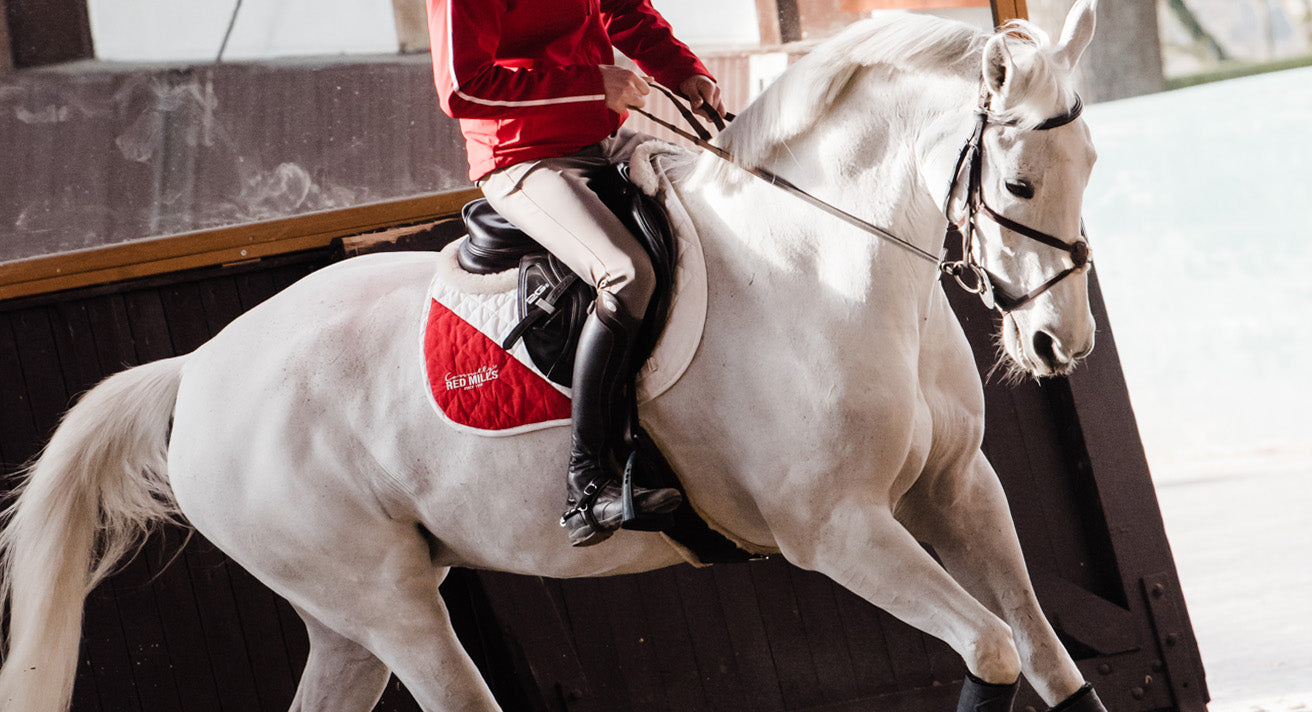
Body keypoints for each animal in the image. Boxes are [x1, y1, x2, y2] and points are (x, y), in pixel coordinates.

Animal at [1, 2, 1106, 710]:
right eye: (1017, 182)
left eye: (1089, 165)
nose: (1060, 344)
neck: (820, 261)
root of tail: (198, 370)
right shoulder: (837, 532)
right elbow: (993, 648)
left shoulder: (957, 487)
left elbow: (1048, 661)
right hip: (391, 608)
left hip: (346, 624)